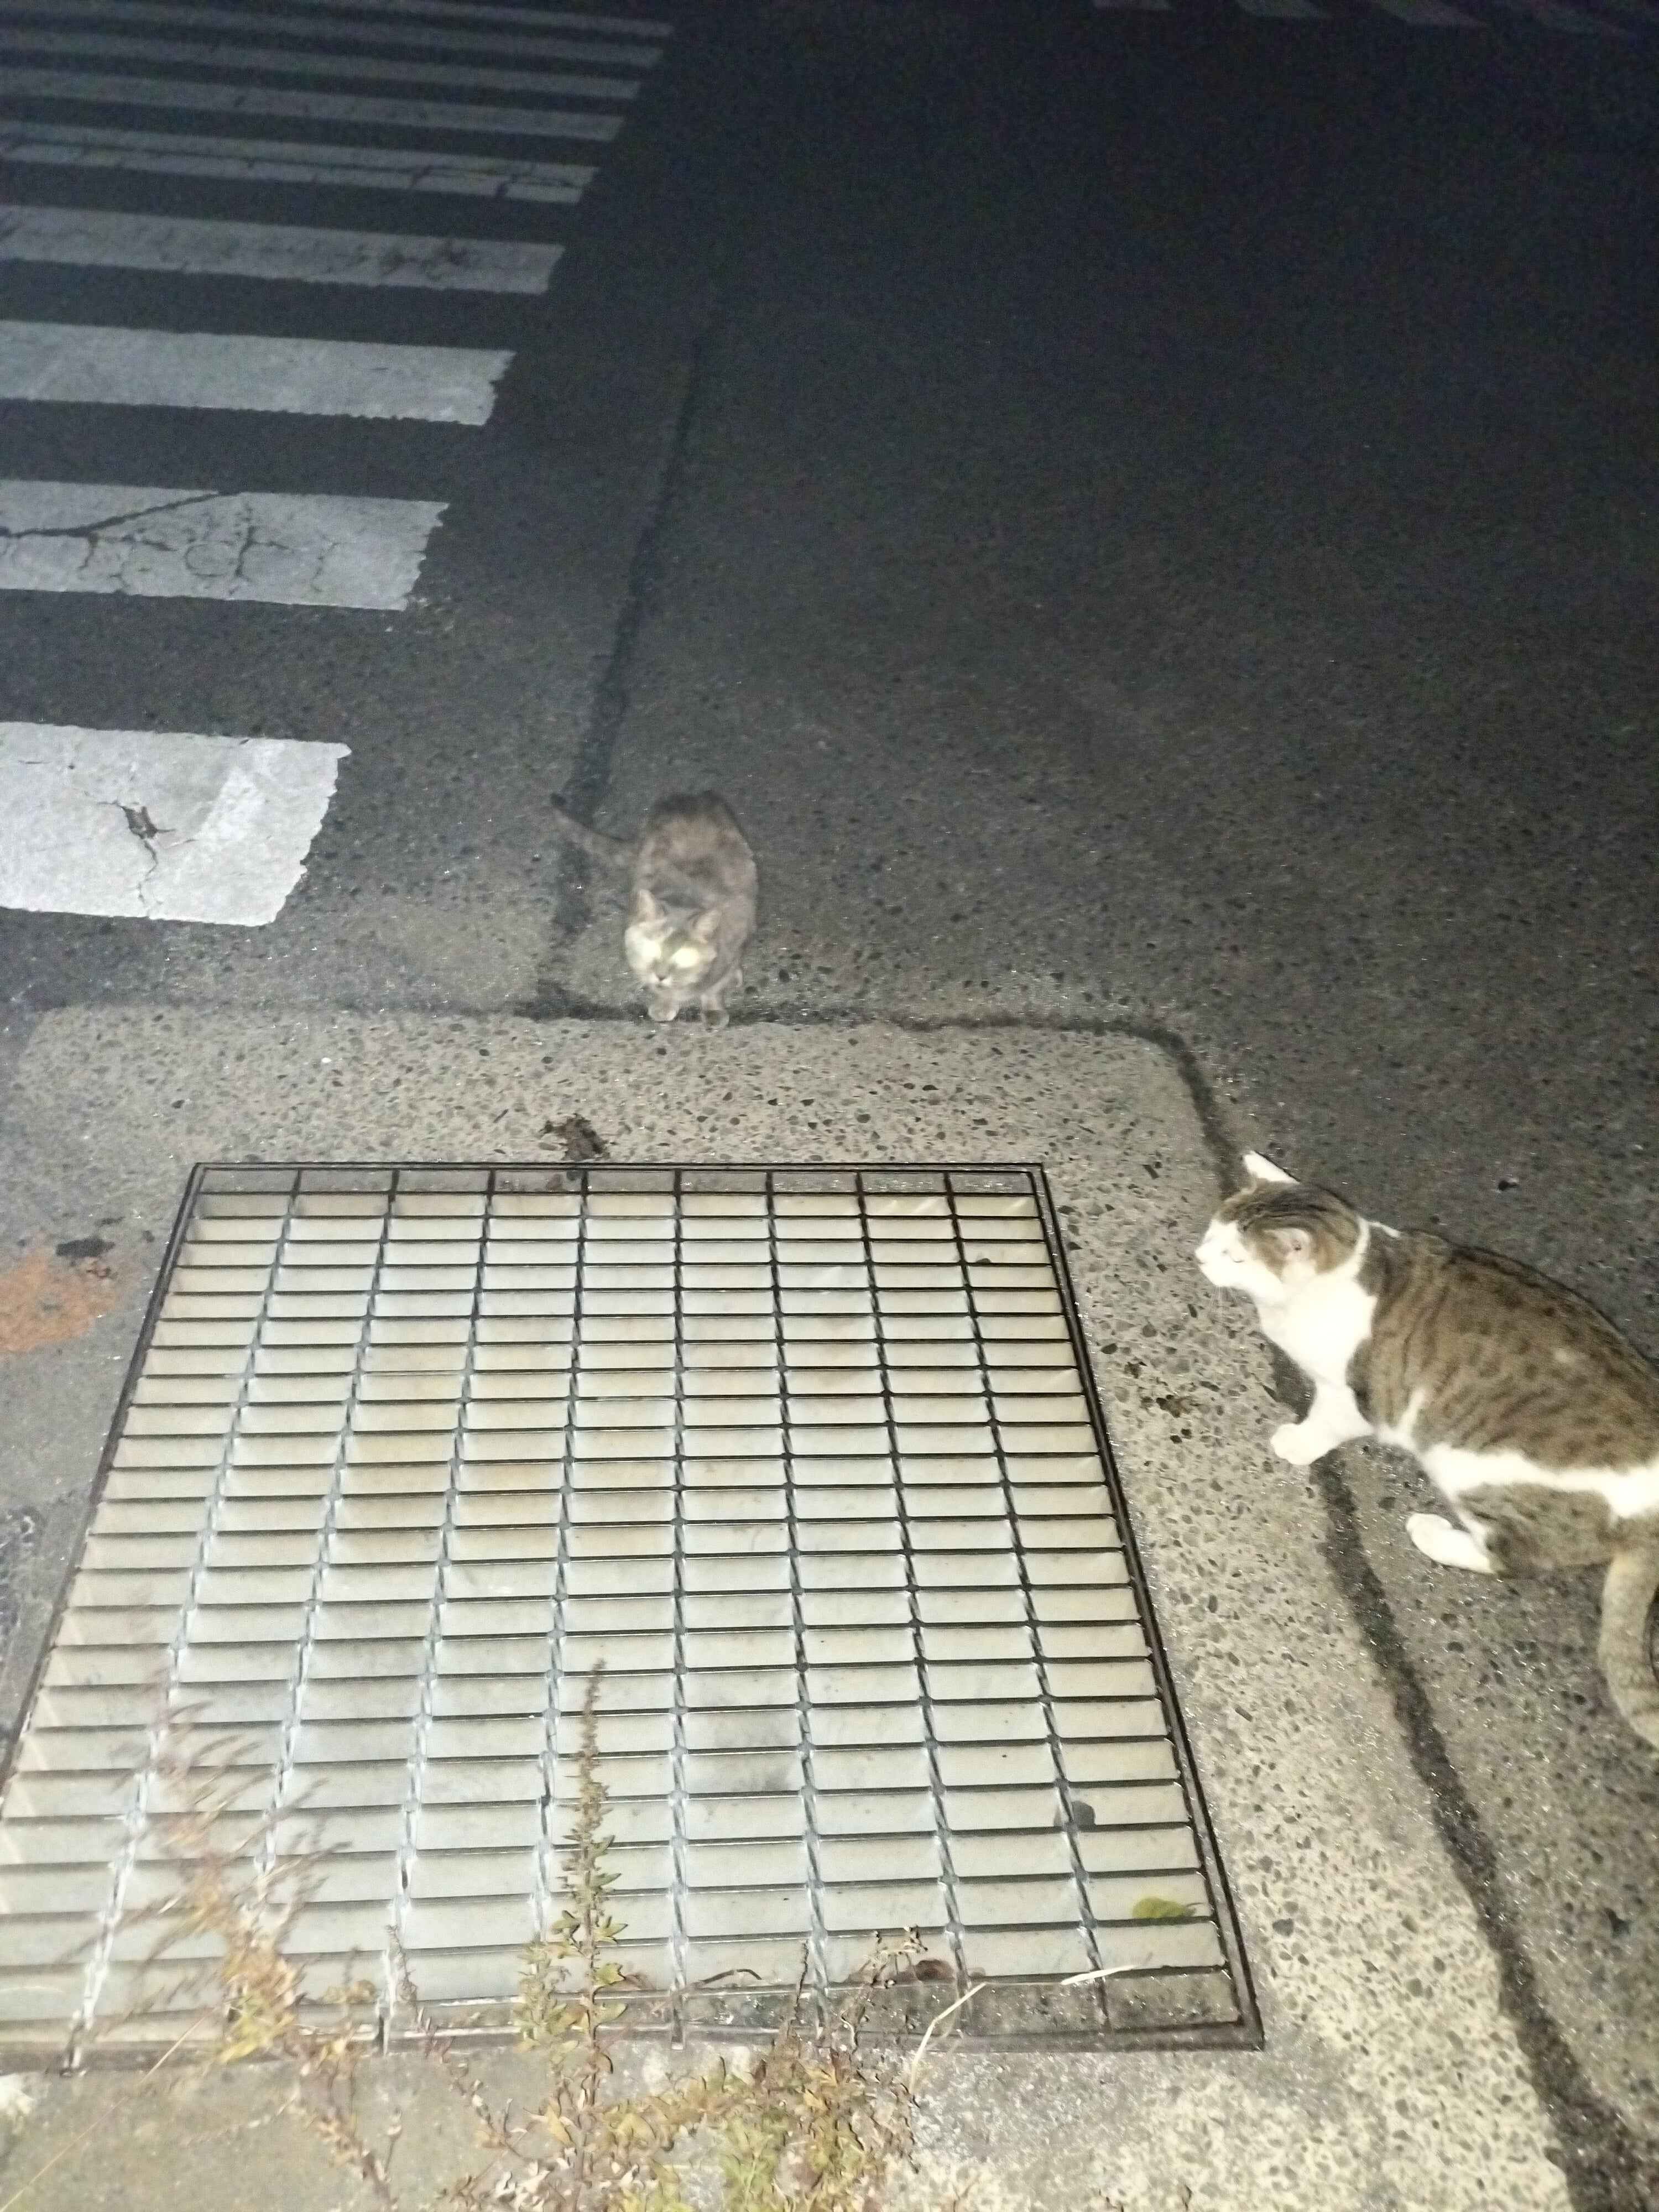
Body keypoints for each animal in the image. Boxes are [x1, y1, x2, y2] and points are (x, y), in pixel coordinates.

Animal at [548, 792, 758, 1026]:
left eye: (683, 955)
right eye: (653, 949)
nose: (661, 975)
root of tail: (689, 798)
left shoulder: (733, 945)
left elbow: (715, 987)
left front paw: (713, 1008)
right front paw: (664, 1003)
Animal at [1196, 1152, 1659, 1751]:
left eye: (1235, 1255)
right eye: (1213, 1230)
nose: (1198, 1255)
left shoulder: (1356, 1400)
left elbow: (1324, 1423)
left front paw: (1296, 1443)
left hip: (1470, 1467)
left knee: (1513, 1558)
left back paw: (1434, 1535)